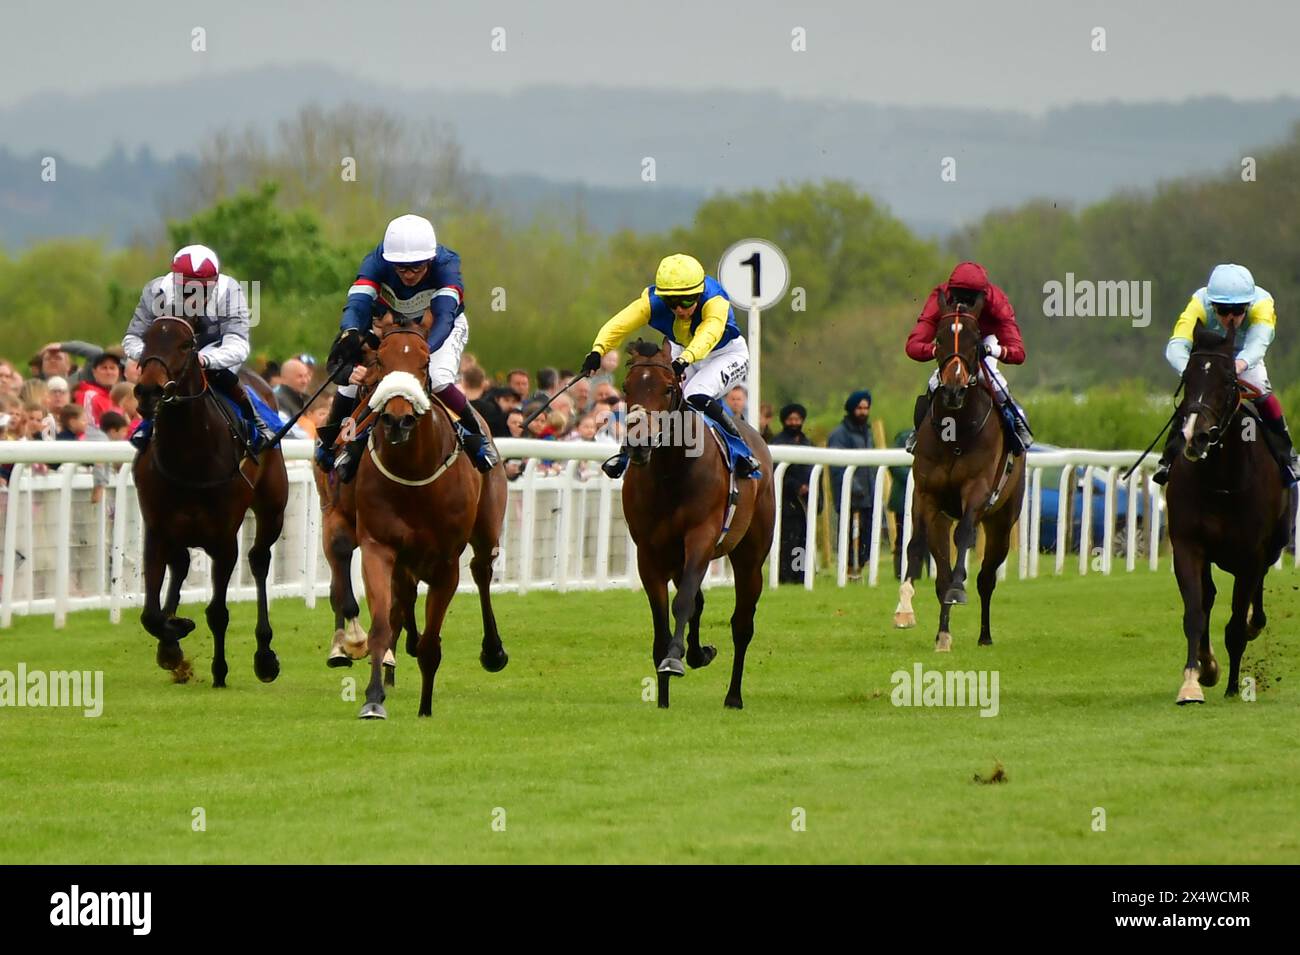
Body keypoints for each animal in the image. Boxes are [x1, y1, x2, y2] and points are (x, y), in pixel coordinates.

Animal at [132, 317, 289, 686]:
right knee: (180, 565)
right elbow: (150, 614)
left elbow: (217, 611)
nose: (148, 391)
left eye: (185, 345)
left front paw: (220, 671)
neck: (189, 456)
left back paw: (265, 654)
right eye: (146, 339)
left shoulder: (224, 539)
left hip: (272, 509)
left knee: (259, 559)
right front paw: (174, 635)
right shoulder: (157, 531)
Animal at [353, 317, 509, 722]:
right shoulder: (378, 546)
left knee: (482, 571)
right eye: (379, 360)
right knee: (406, 596)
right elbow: (380, 626)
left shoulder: (445, 562)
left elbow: (431, 644)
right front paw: (373, 698)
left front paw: (425, 707)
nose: (397, 419)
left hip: (486, 529)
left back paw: (493, 651)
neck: (412, 470)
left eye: (424, 363)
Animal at [618, 343, 769, 712]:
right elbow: (663, 616)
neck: (670, 473)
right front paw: (663, 696)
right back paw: (700, 654)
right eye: (627, 387)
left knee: (742, 623)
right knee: (700, 602)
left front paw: (675, 659)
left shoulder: (701, 538)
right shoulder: (650, 554)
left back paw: (733, 696)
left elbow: (682, 603)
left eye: (667, 389)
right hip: (676, 558)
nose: (638, 444)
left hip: (750, 556)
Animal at [894, 293, 1024, 649]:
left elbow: (964, 535)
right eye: (938, 339)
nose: (953, 391)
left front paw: (958, 587)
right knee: (940, 571)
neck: (956, 433)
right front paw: (904, 608)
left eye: (975, 341)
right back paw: (943, 635)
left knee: (986, 577)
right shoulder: (925, 494)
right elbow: (915, 544)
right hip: (942, 517)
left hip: (1002, 522)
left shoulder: (977, 492)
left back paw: (984, 635)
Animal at [1164, 324, 1284, 706]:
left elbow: (1235, 625)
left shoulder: (1251, 555)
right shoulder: (1188, 546)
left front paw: (1233, 686)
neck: (1221, 480)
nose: (1195, 436)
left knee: (1253, 599)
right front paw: (1193, 679)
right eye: (1187, 377)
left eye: (1229, 379)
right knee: (1209, 596)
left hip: (1271, 547)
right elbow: (1194, 613)